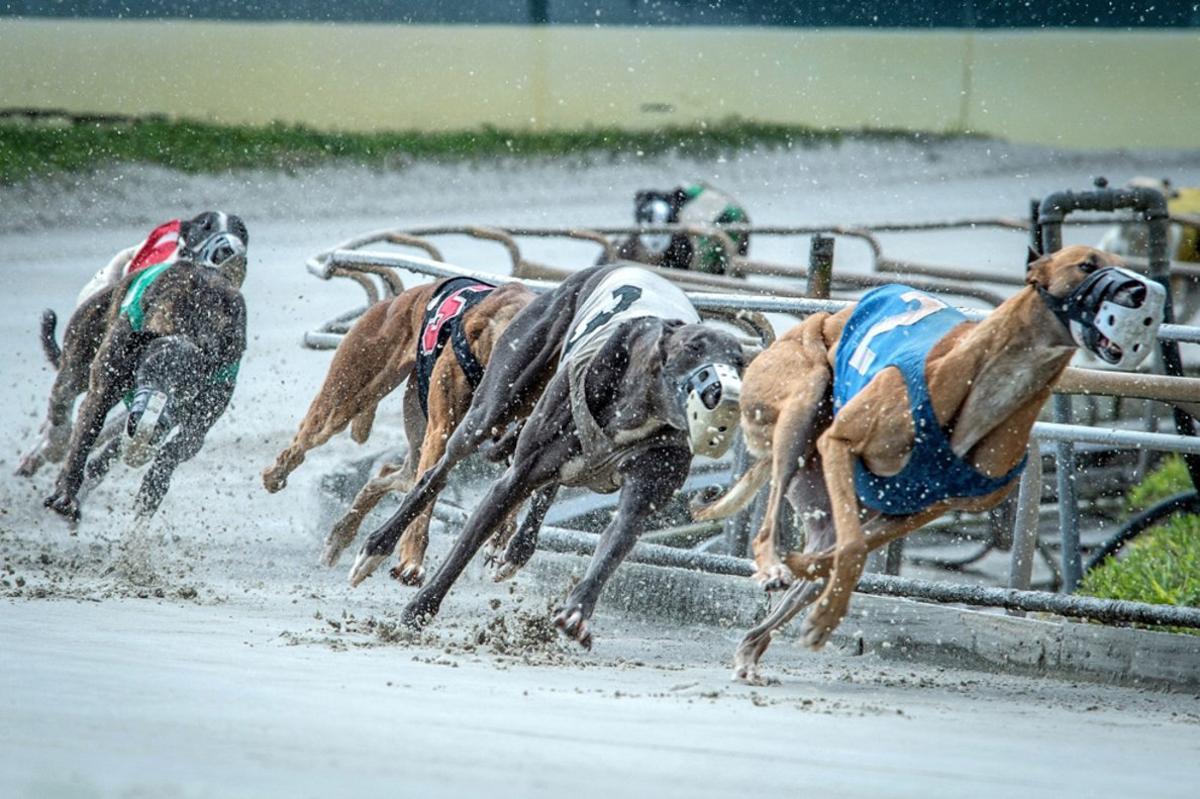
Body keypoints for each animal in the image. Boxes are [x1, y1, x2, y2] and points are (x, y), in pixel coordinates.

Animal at [42, 247, 248, 523]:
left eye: (185, 390)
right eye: (144, 374)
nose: (148, 422)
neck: (192, 319)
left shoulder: (201, 421)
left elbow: (176, 448)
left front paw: (152, 490)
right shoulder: (104, 386)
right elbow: (86, 432)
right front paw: (66, 496)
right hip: (82, 350)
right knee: (63, 393)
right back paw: (58, 435)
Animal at [262, 273, 535, 578]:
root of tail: (398, 298)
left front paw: (503, 534)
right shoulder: (442, 434)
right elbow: (427, 495)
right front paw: (412, 559)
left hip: (413, 432)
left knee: (389, 475)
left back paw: (342, 534)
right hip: (345, 399)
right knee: (302, 443)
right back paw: (275, 475)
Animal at [343, 263, 744, 643]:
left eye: (741, 361)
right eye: (694, 348)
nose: (722, 390)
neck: (638, 408)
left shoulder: (644, 492)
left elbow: (614, 544)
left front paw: (577, 612)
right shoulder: (514, 477)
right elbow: (464, 547)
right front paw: (418, 610)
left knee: (547, 486)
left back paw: (518, 547)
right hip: (492, 403)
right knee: (436, 472)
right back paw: (377, 545)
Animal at [696, 244, 1161, 676]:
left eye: (1129, 267)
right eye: (1086, 264)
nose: (1140, 292)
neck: (994, 386)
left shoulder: (919, 508)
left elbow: (849, 552)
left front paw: (819, 599)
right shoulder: (841, 441)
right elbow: (852, 548)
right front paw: (823, 615)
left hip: (829, 496)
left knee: (819, 555)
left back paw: (755, 641)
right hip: (802, 401)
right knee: (768, 527)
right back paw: (773, 567)